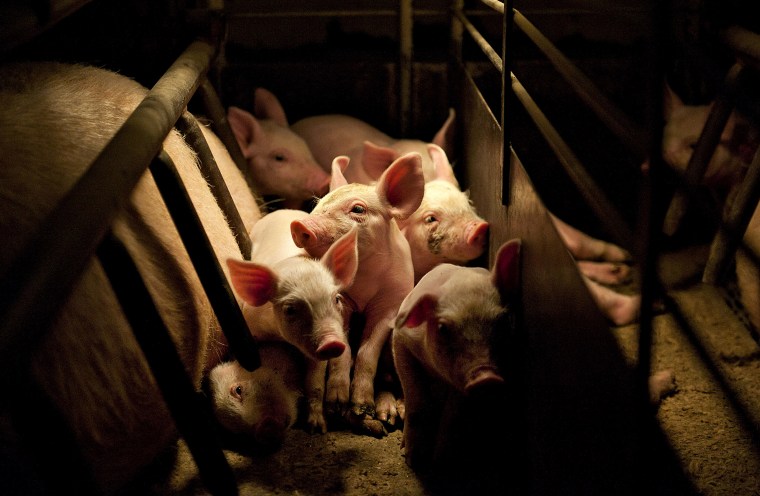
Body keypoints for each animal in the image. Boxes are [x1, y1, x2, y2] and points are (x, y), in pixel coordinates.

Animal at [226, 207, 360, 432]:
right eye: (290, 309)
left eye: (336, 299)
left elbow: (314, 384)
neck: (280, 337)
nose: (332, 342)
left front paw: (317, 428)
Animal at [290, 153, 424, 432]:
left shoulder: (390, 304)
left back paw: (387, 417)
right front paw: (337, 406)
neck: (364, 280)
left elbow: (367, 351)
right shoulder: (342, 302)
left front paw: (362, 407)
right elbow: (345, 350)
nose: (299, 223)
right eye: (318, 203)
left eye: (358, 209)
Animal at [392, 238, 524, 470]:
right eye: (443, 328)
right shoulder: (401, 340)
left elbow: (453, 416)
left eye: (502, 321)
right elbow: (416, 399)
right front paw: (413, 459)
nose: (486, 377)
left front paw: (441, 464)